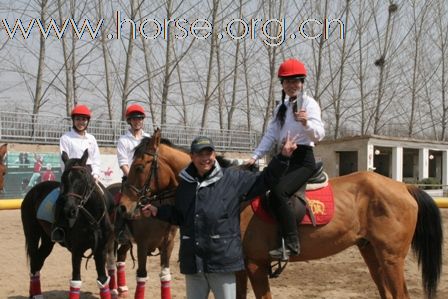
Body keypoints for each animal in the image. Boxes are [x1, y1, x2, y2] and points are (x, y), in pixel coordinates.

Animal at [117, 130, 189, 299]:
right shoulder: (142, 244)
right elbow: (142, 276)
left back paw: (122, 290)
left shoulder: (168, 244)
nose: (123, 207)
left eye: (139, 167)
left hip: (126, 242)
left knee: (120, 256)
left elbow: (165, 276)